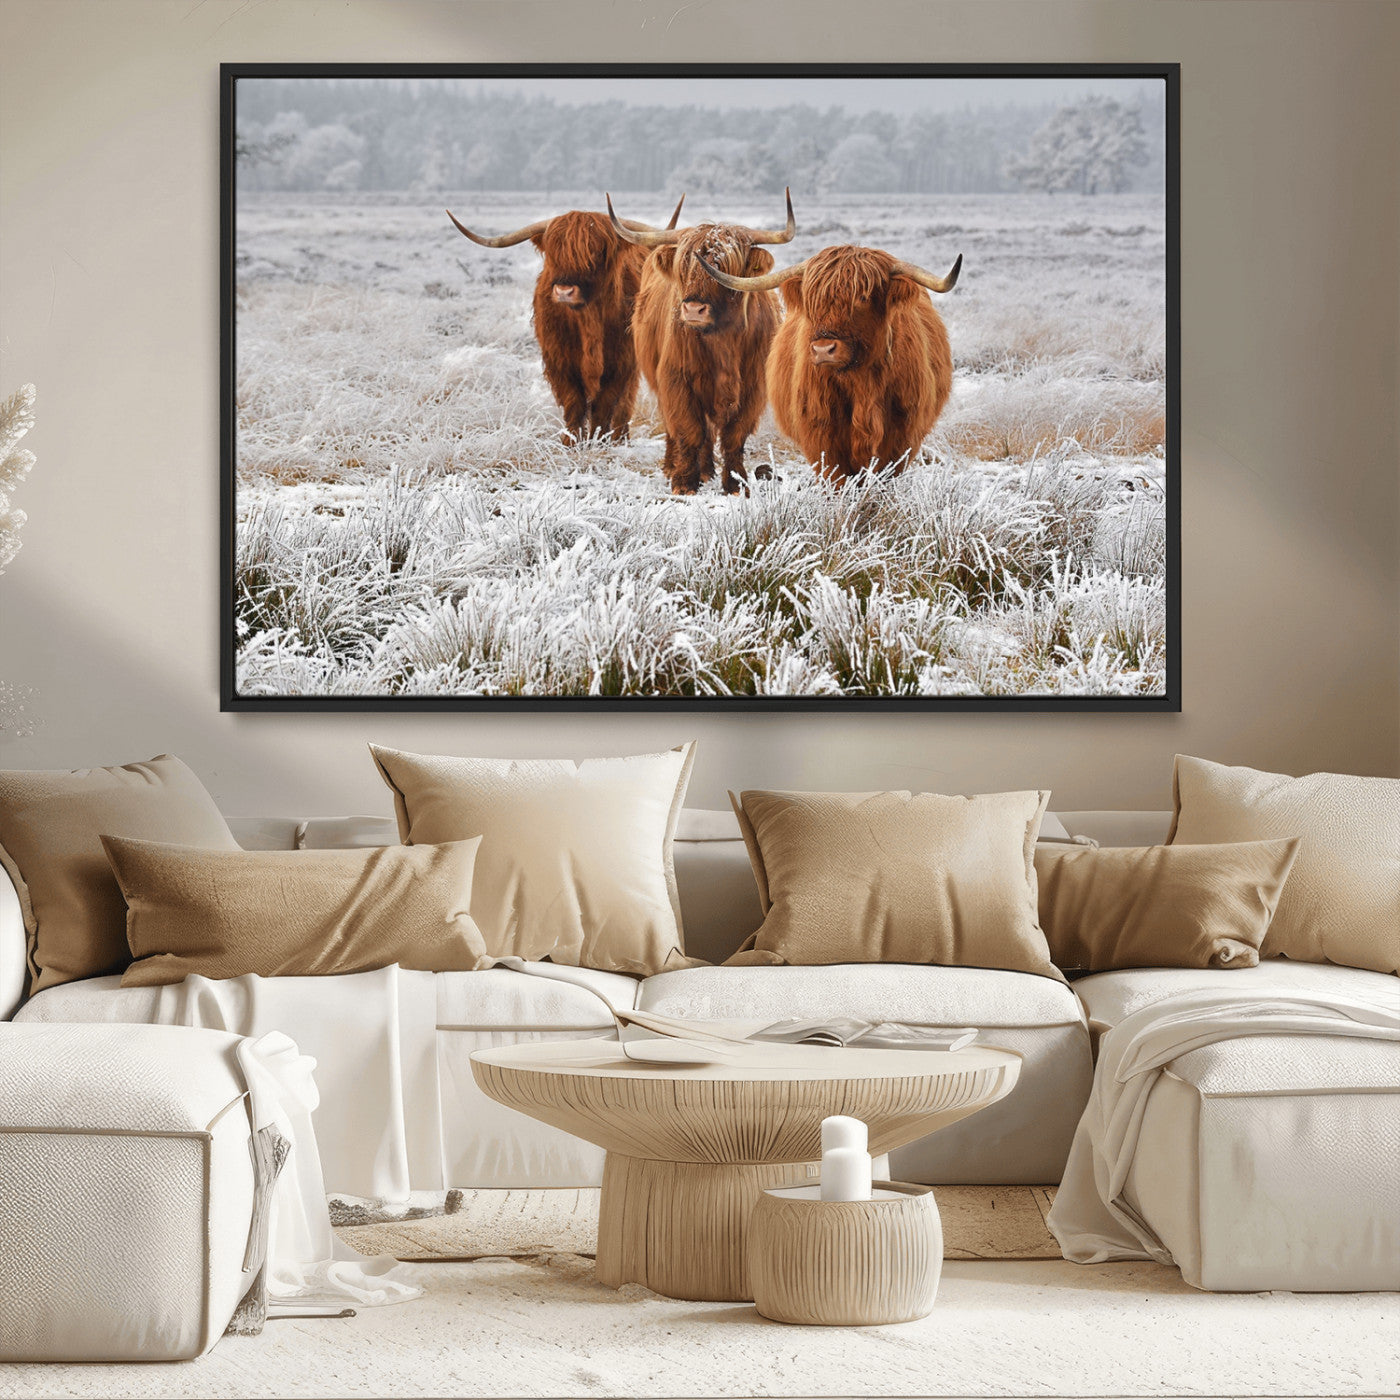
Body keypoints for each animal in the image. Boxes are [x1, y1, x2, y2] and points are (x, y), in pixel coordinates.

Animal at [446, 197, 685, 443]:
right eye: (554, 253)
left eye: (596, 252)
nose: (564, 291)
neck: (588, 321)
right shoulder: (559, 361)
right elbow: (574, 403)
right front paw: (571, 442)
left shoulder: (621, 362)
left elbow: (605, 404)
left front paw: (599, 440)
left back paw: (620, 437)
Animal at [607, 191, 797, 496]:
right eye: (684, 266)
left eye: (724, 267)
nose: (694, 309)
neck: (723, 342)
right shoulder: (676, 380)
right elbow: (689, 430)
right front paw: (684, 482)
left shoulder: (753, 388)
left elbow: (734, 436)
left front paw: (736, 483)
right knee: (680, 428)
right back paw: (675, 466)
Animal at [700, 244, 962, 482]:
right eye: (812, 299)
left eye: (863, 297)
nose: (823, 349)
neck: (861, 384)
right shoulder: (821, 434)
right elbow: (836, 478)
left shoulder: (901, 435)